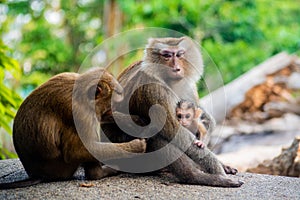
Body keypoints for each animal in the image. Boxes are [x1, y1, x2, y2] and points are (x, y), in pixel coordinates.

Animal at [0, 67, 146, 189]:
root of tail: (37, 174)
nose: (113, 108)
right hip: (60, 168)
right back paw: (99, 174)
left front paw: (134, 121)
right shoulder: (80, 113)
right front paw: (136, 146)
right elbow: (76, 151)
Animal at [102, 36, 243, 188]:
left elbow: (204, 117)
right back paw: (194, 176)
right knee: (155, 131)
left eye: (179, 54)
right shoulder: (155, 89)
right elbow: (176, 132)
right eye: (167, 55)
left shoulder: (189, 87)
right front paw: (218, 171)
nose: (176, 68)